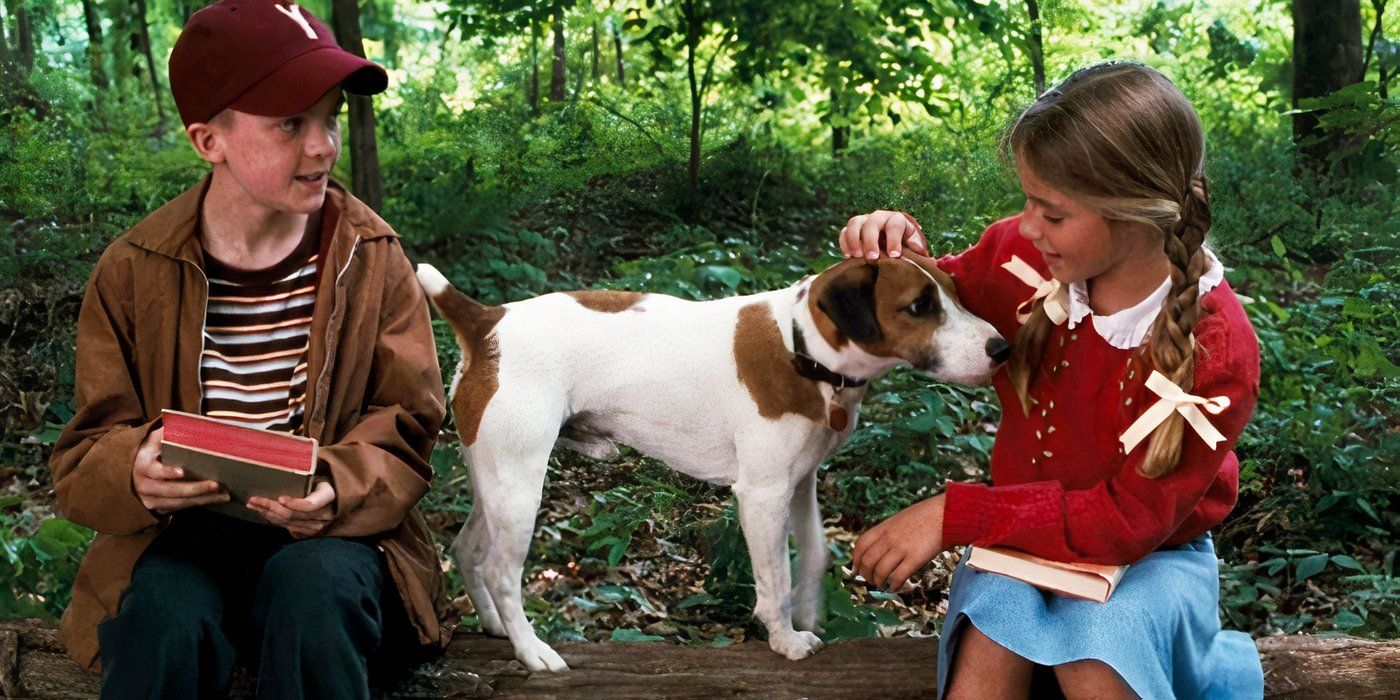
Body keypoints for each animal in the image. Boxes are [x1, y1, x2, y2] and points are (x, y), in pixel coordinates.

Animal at [414, 254, 1008, 669]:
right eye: (919, 306)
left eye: (955, 294)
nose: (1001, 349)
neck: (802, 346)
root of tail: (488, 321)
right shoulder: (763, 495)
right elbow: (774, 578)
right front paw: (785, 639)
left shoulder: (800, 484)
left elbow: (814, 553)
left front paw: (809, 609)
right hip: (520, 485)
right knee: (500, 570)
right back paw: (530, 650)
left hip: (494, 480)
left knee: (467, 550)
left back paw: (496, 628)